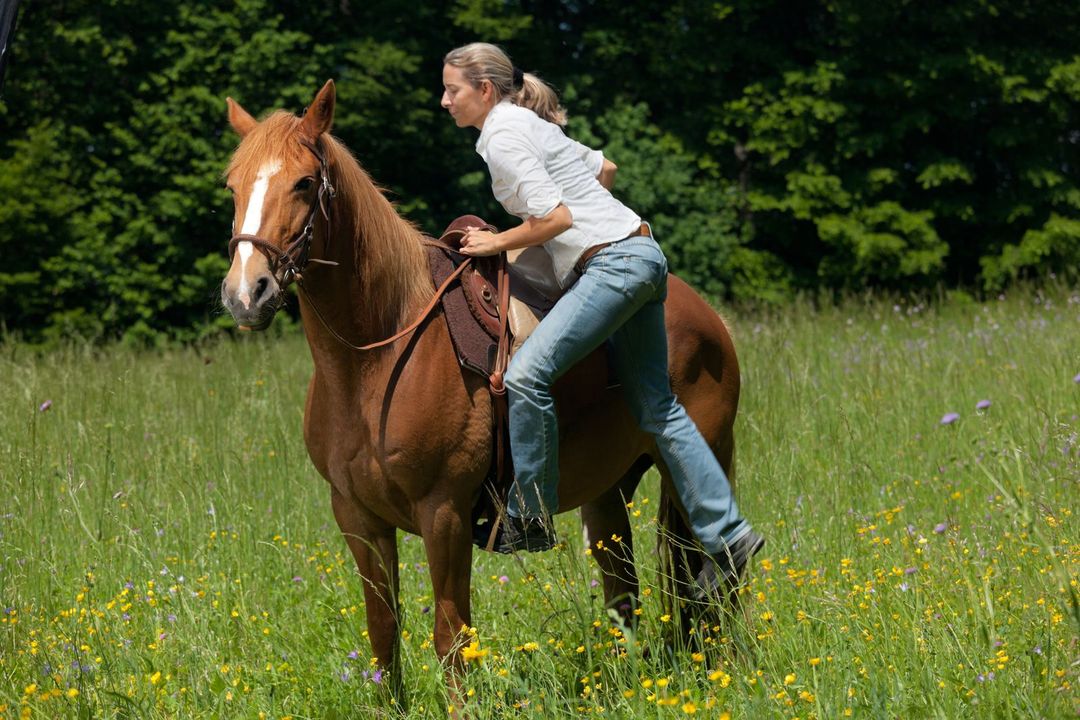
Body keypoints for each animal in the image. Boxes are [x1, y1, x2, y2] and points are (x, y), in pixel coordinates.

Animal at [219, 80, 743, 703]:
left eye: (303, 182)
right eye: (232, 185)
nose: (246, 293)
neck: (376, 359)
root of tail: (707, 317)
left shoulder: (444, 513)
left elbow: (452, 636)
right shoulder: (356, 515)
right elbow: (382, 629)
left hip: (705, 458)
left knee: (718, 565)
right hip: (609, 493)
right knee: (626, 593)